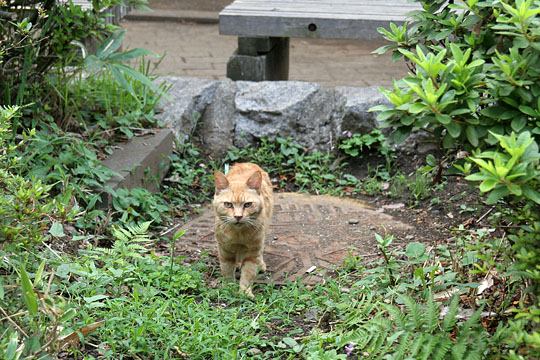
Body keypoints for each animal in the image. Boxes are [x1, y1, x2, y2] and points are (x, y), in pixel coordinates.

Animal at [213, 163, 274, 298]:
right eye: (228, 204)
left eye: (247, 204)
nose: (238, 216)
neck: (238, 234)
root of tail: (247, 163)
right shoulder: (224, 250)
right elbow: (226, 269)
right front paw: (228, 288)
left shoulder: (252, 253)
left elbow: (248, 273)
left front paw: (245, 292)